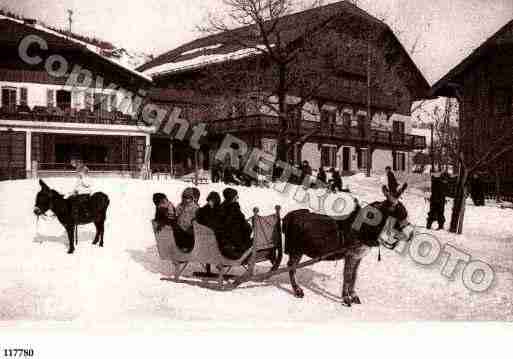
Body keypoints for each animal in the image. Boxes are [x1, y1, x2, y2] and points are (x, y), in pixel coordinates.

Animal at [282, 188, 414, 306]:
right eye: (400, 216)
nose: (411, 235)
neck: (365, 230)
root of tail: (287, 217)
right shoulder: (350, 255)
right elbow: (347, 276)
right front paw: (346, 298)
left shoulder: (358, 257)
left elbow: (354, 277)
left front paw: (354, 296)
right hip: (296, 250)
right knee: (291, 268)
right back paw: (297, 290)